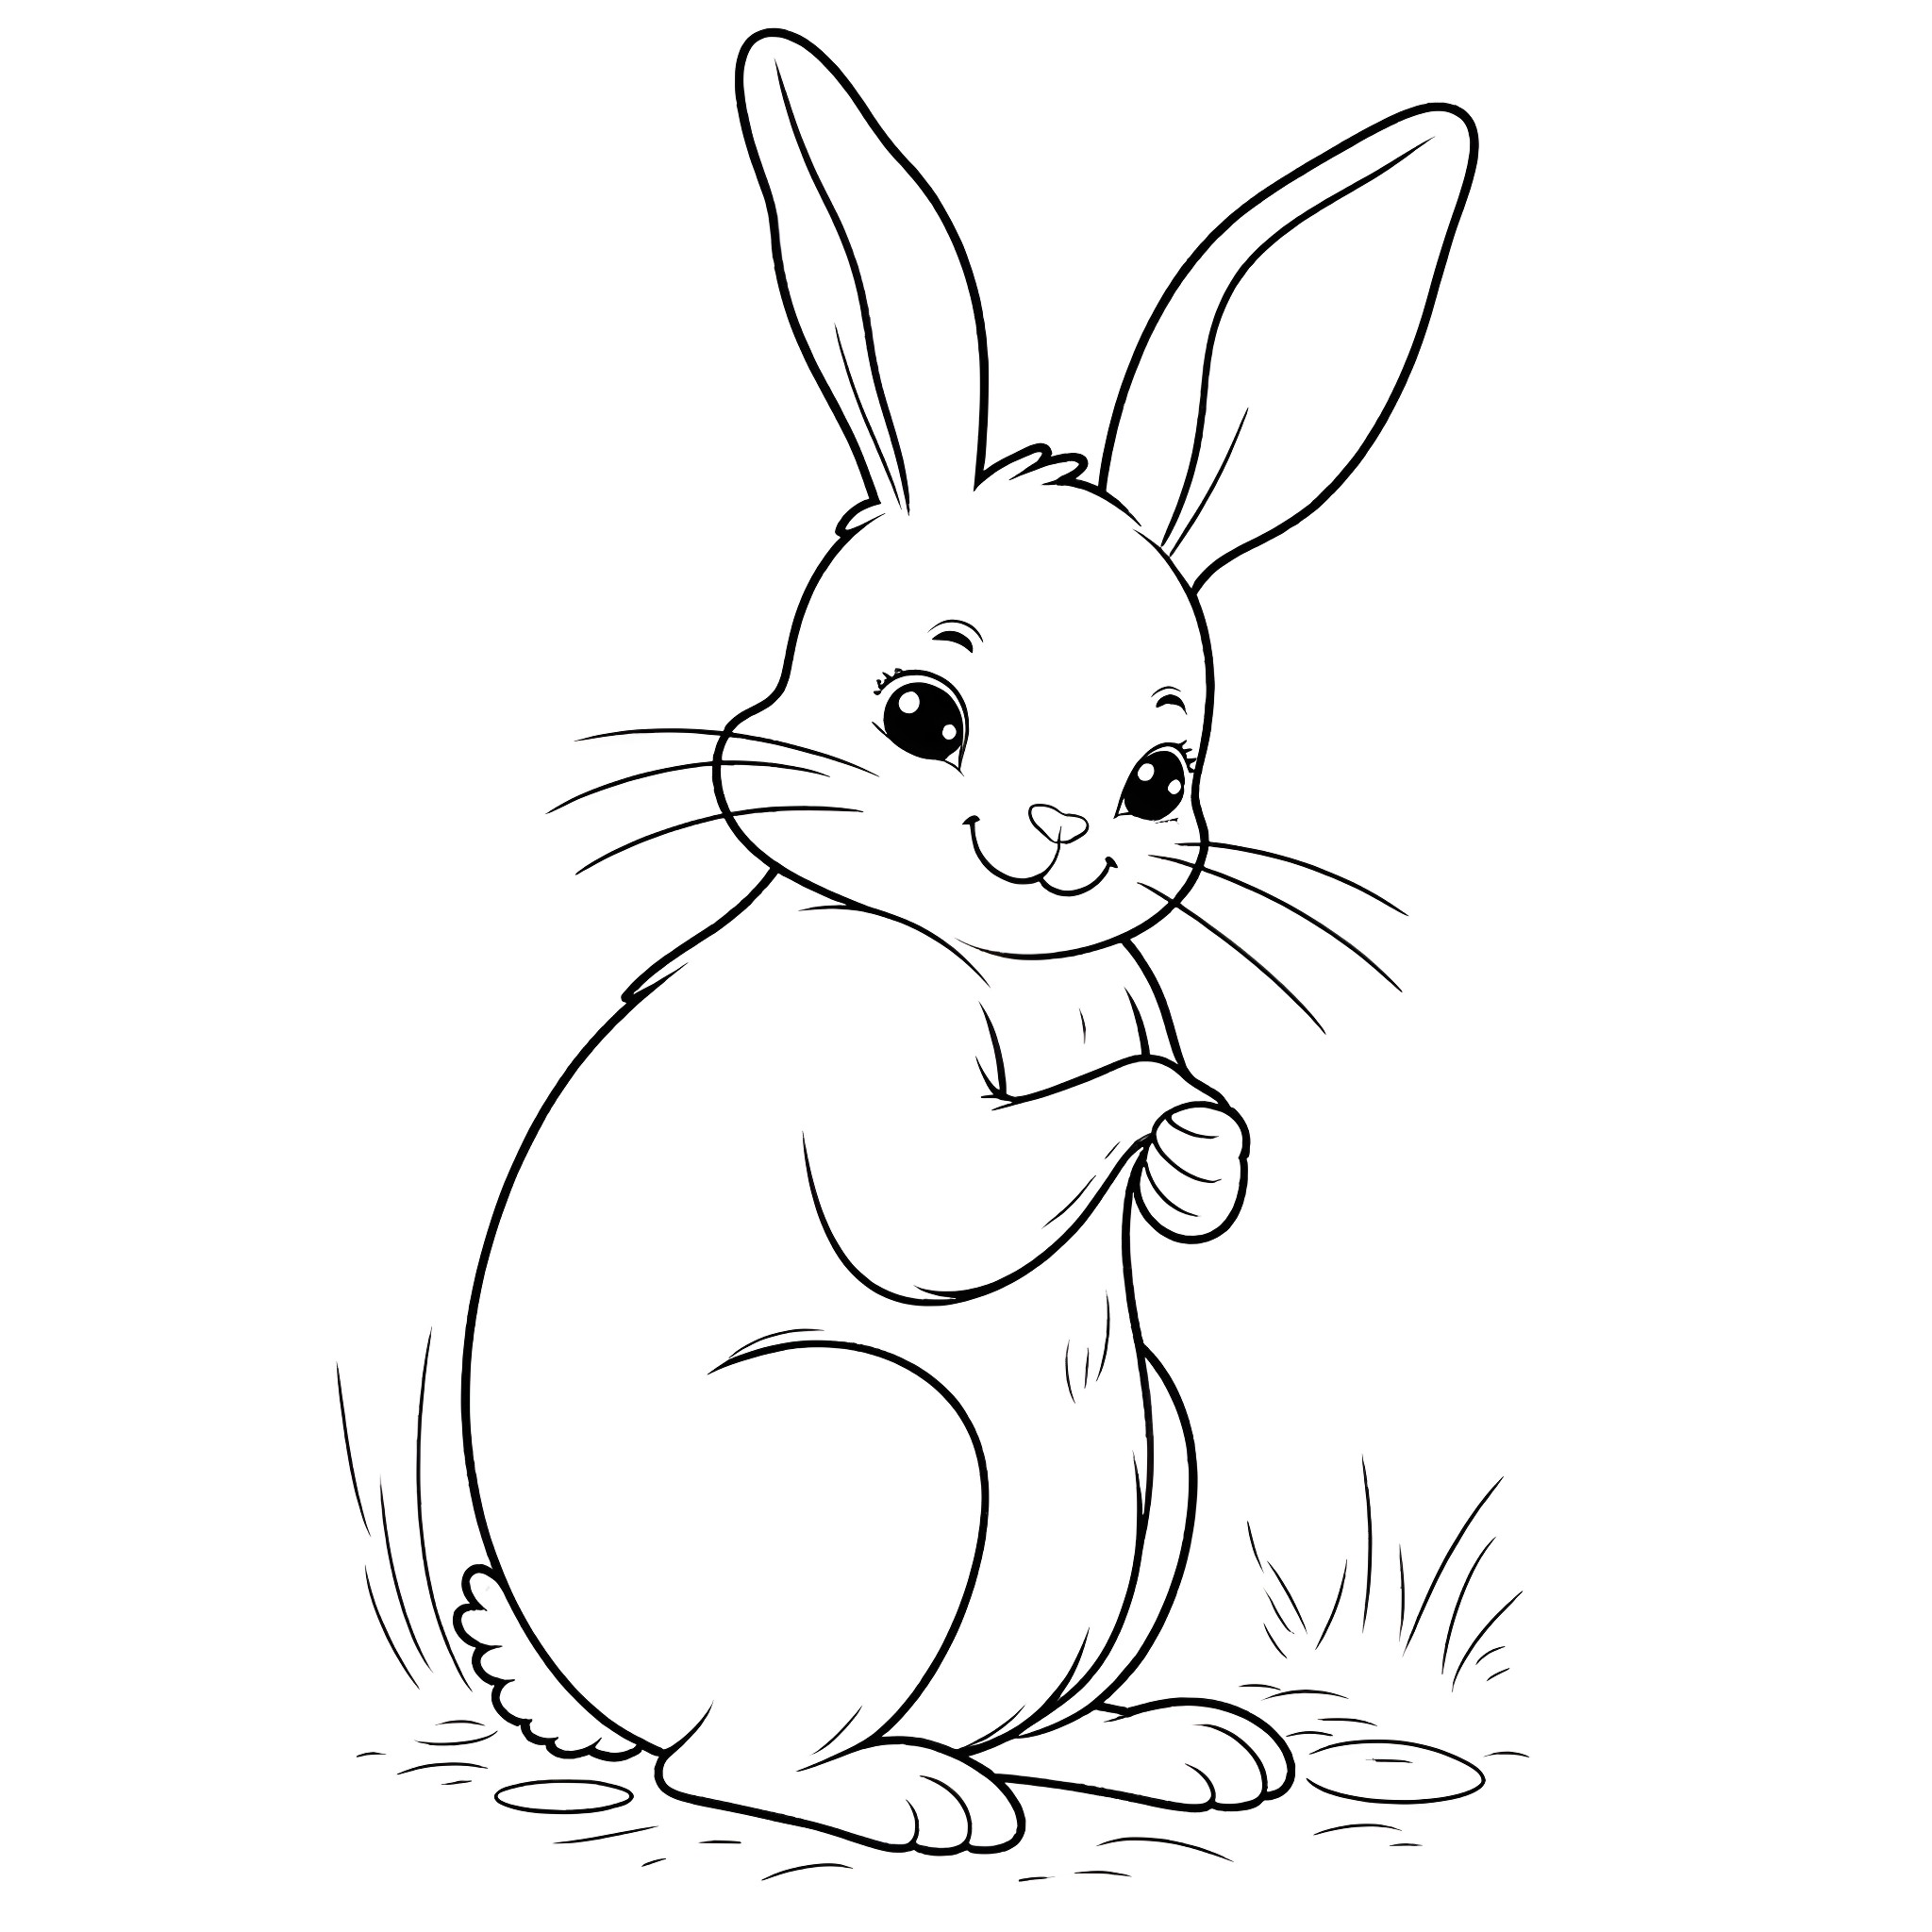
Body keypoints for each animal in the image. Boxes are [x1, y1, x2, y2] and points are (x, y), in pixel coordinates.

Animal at [458, 30, 1475, 1853]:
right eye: (921, 714)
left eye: (1159, 779)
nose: (1056, 840)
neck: (997, 957)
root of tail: (583, 1684)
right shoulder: (875, 1075)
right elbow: (940, 1208)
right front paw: (1164, 1109)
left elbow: (1173, 1186)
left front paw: (1203, 1152)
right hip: (874, 1446)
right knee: (724, 1763)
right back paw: (913, 1799)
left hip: (1152, 1461)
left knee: (1031, 1720)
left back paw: (1176, 1750)